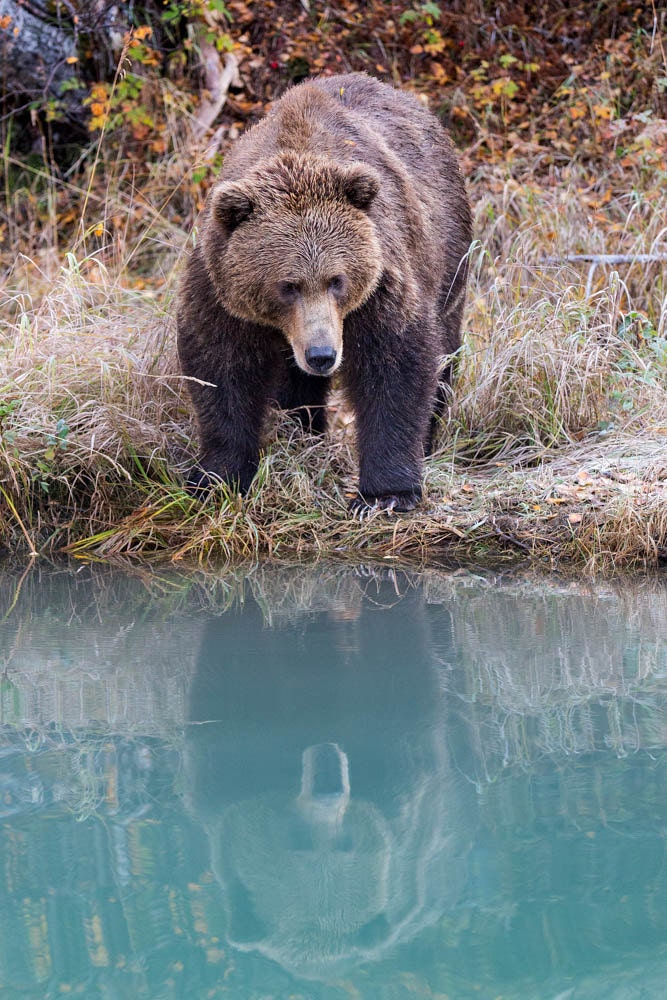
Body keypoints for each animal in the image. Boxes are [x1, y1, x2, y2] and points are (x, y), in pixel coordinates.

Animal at [177, 72, 472, 512]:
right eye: (287, 285)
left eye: (337, 279)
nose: (322, 355)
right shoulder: (221, 289)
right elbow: (221, 368)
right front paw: (217, 477)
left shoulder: (380, 282)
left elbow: (396, 365)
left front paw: (386, 493)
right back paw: (303, 430)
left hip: (449, 253)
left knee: (445, 347)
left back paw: (429, 440)